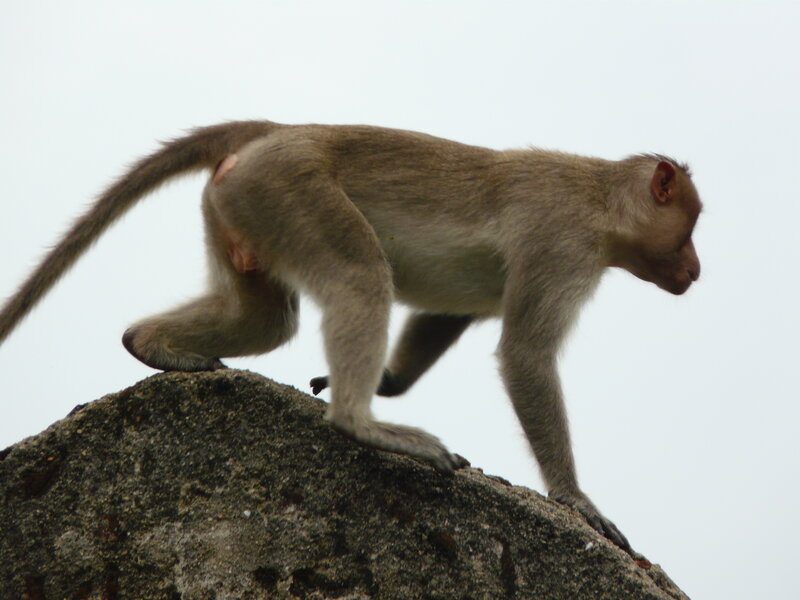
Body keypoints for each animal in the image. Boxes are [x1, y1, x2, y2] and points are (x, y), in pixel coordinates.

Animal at [0, 120, 702, 553]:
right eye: (690, 227)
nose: (697, 269)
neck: (601, 205)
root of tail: (275, 133)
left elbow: (448, 312)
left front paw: (390, 379)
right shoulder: (563, 243)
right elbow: (526, 354)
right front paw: (576, 499)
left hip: (241, 206)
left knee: (268, 319)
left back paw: (149, 343)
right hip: (289, 188)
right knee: (360, 277)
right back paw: (361, 423)